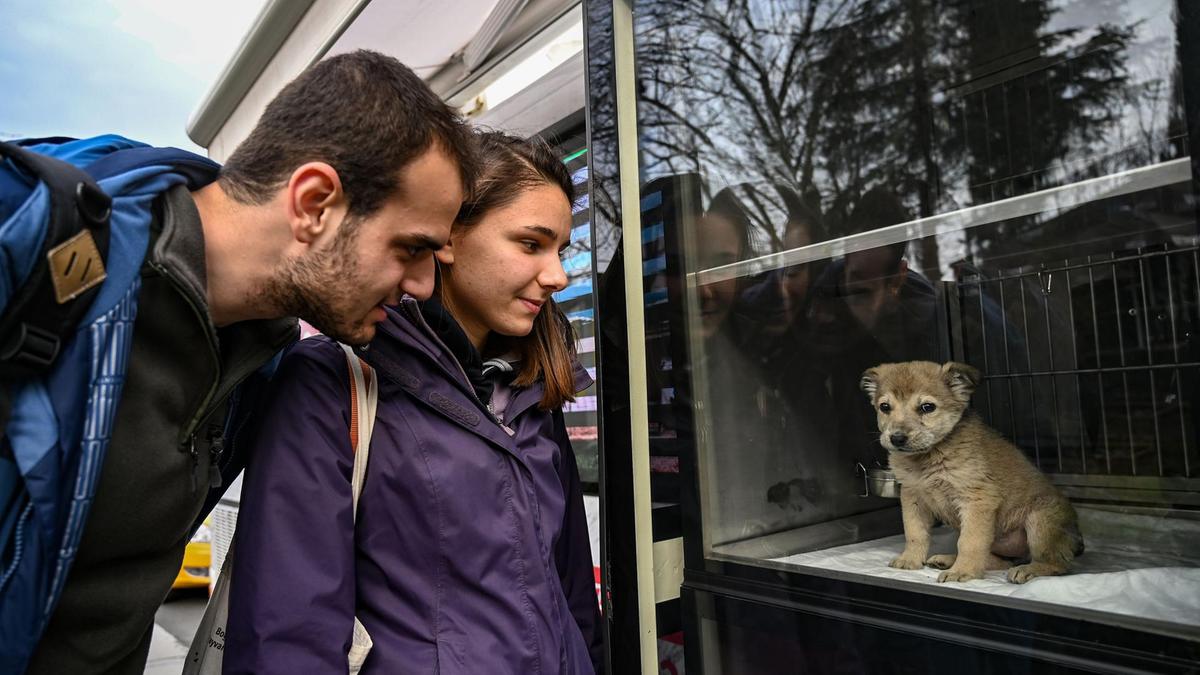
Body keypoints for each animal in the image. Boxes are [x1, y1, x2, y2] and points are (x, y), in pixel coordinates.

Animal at [859, 360, 1084, 581]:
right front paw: (910, 559)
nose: (896, 438)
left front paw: (962, 571)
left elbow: (969, 542)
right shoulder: (912, 497)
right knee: (1000, 561)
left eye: (927, 407)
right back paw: (947, 559)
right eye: (885, 407)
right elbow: (915, 533)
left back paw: (1028, 570)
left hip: (1040, 521)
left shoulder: (977, 499)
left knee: (1055, 564)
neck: (927, 458)